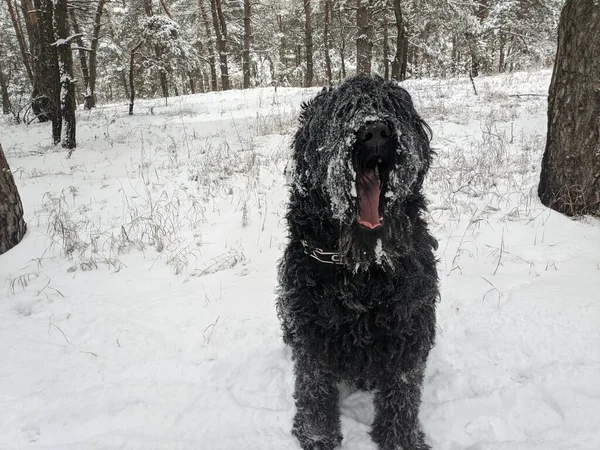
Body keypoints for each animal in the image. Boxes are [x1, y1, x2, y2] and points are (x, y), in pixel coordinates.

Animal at [278, 76, 440, 450]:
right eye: (342, 112)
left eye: (392, 106)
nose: (376, 131)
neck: (361, 270)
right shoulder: (310, 327)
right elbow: (313, 385)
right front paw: (317, 435)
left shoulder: (410, 322)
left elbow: (403, 389)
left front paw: (401, 439)